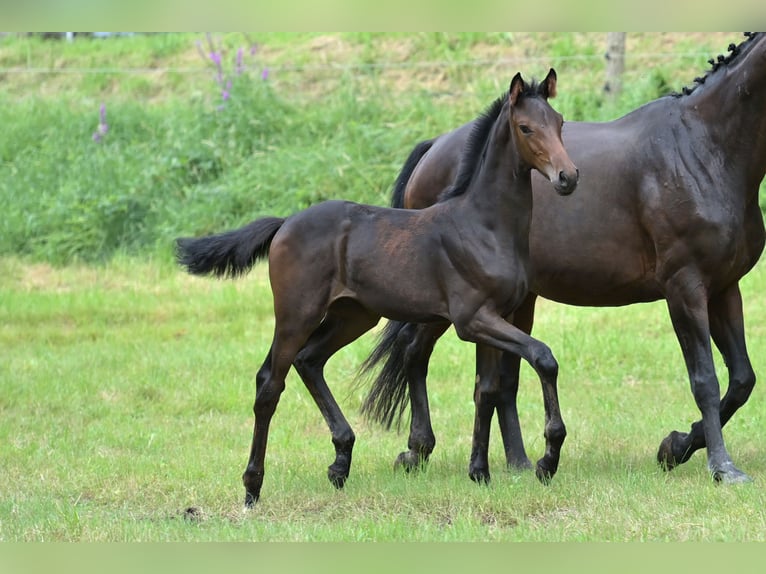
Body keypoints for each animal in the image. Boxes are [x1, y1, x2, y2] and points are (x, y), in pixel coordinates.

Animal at [177, 70, 580, 506]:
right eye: (526, 128)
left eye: (559, 122)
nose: (568, 177)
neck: (485, 225)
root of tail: (285, 223)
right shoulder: (472, 320)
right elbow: (543, 357)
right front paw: (547, 460)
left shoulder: (496, 316)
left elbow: (486, 390)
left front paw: (479, 472)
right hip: (296, 314)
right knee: (270, 383)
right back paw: (253, 486)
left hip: (353, 316)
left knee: (309, 360)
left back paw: (340, 461)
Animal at [360, 32, 766, 486]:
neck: (703, 148)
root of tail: (434, 150)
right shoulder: (685, 289)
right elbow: (706, 380)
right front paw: (721, 466)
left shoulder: (724, 287)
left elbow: (742, 380)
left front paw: (674, 447)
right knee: (415, 351)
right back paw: (418, 449)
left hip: (515, 303)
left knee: (500, 380)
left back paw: (517, 463)